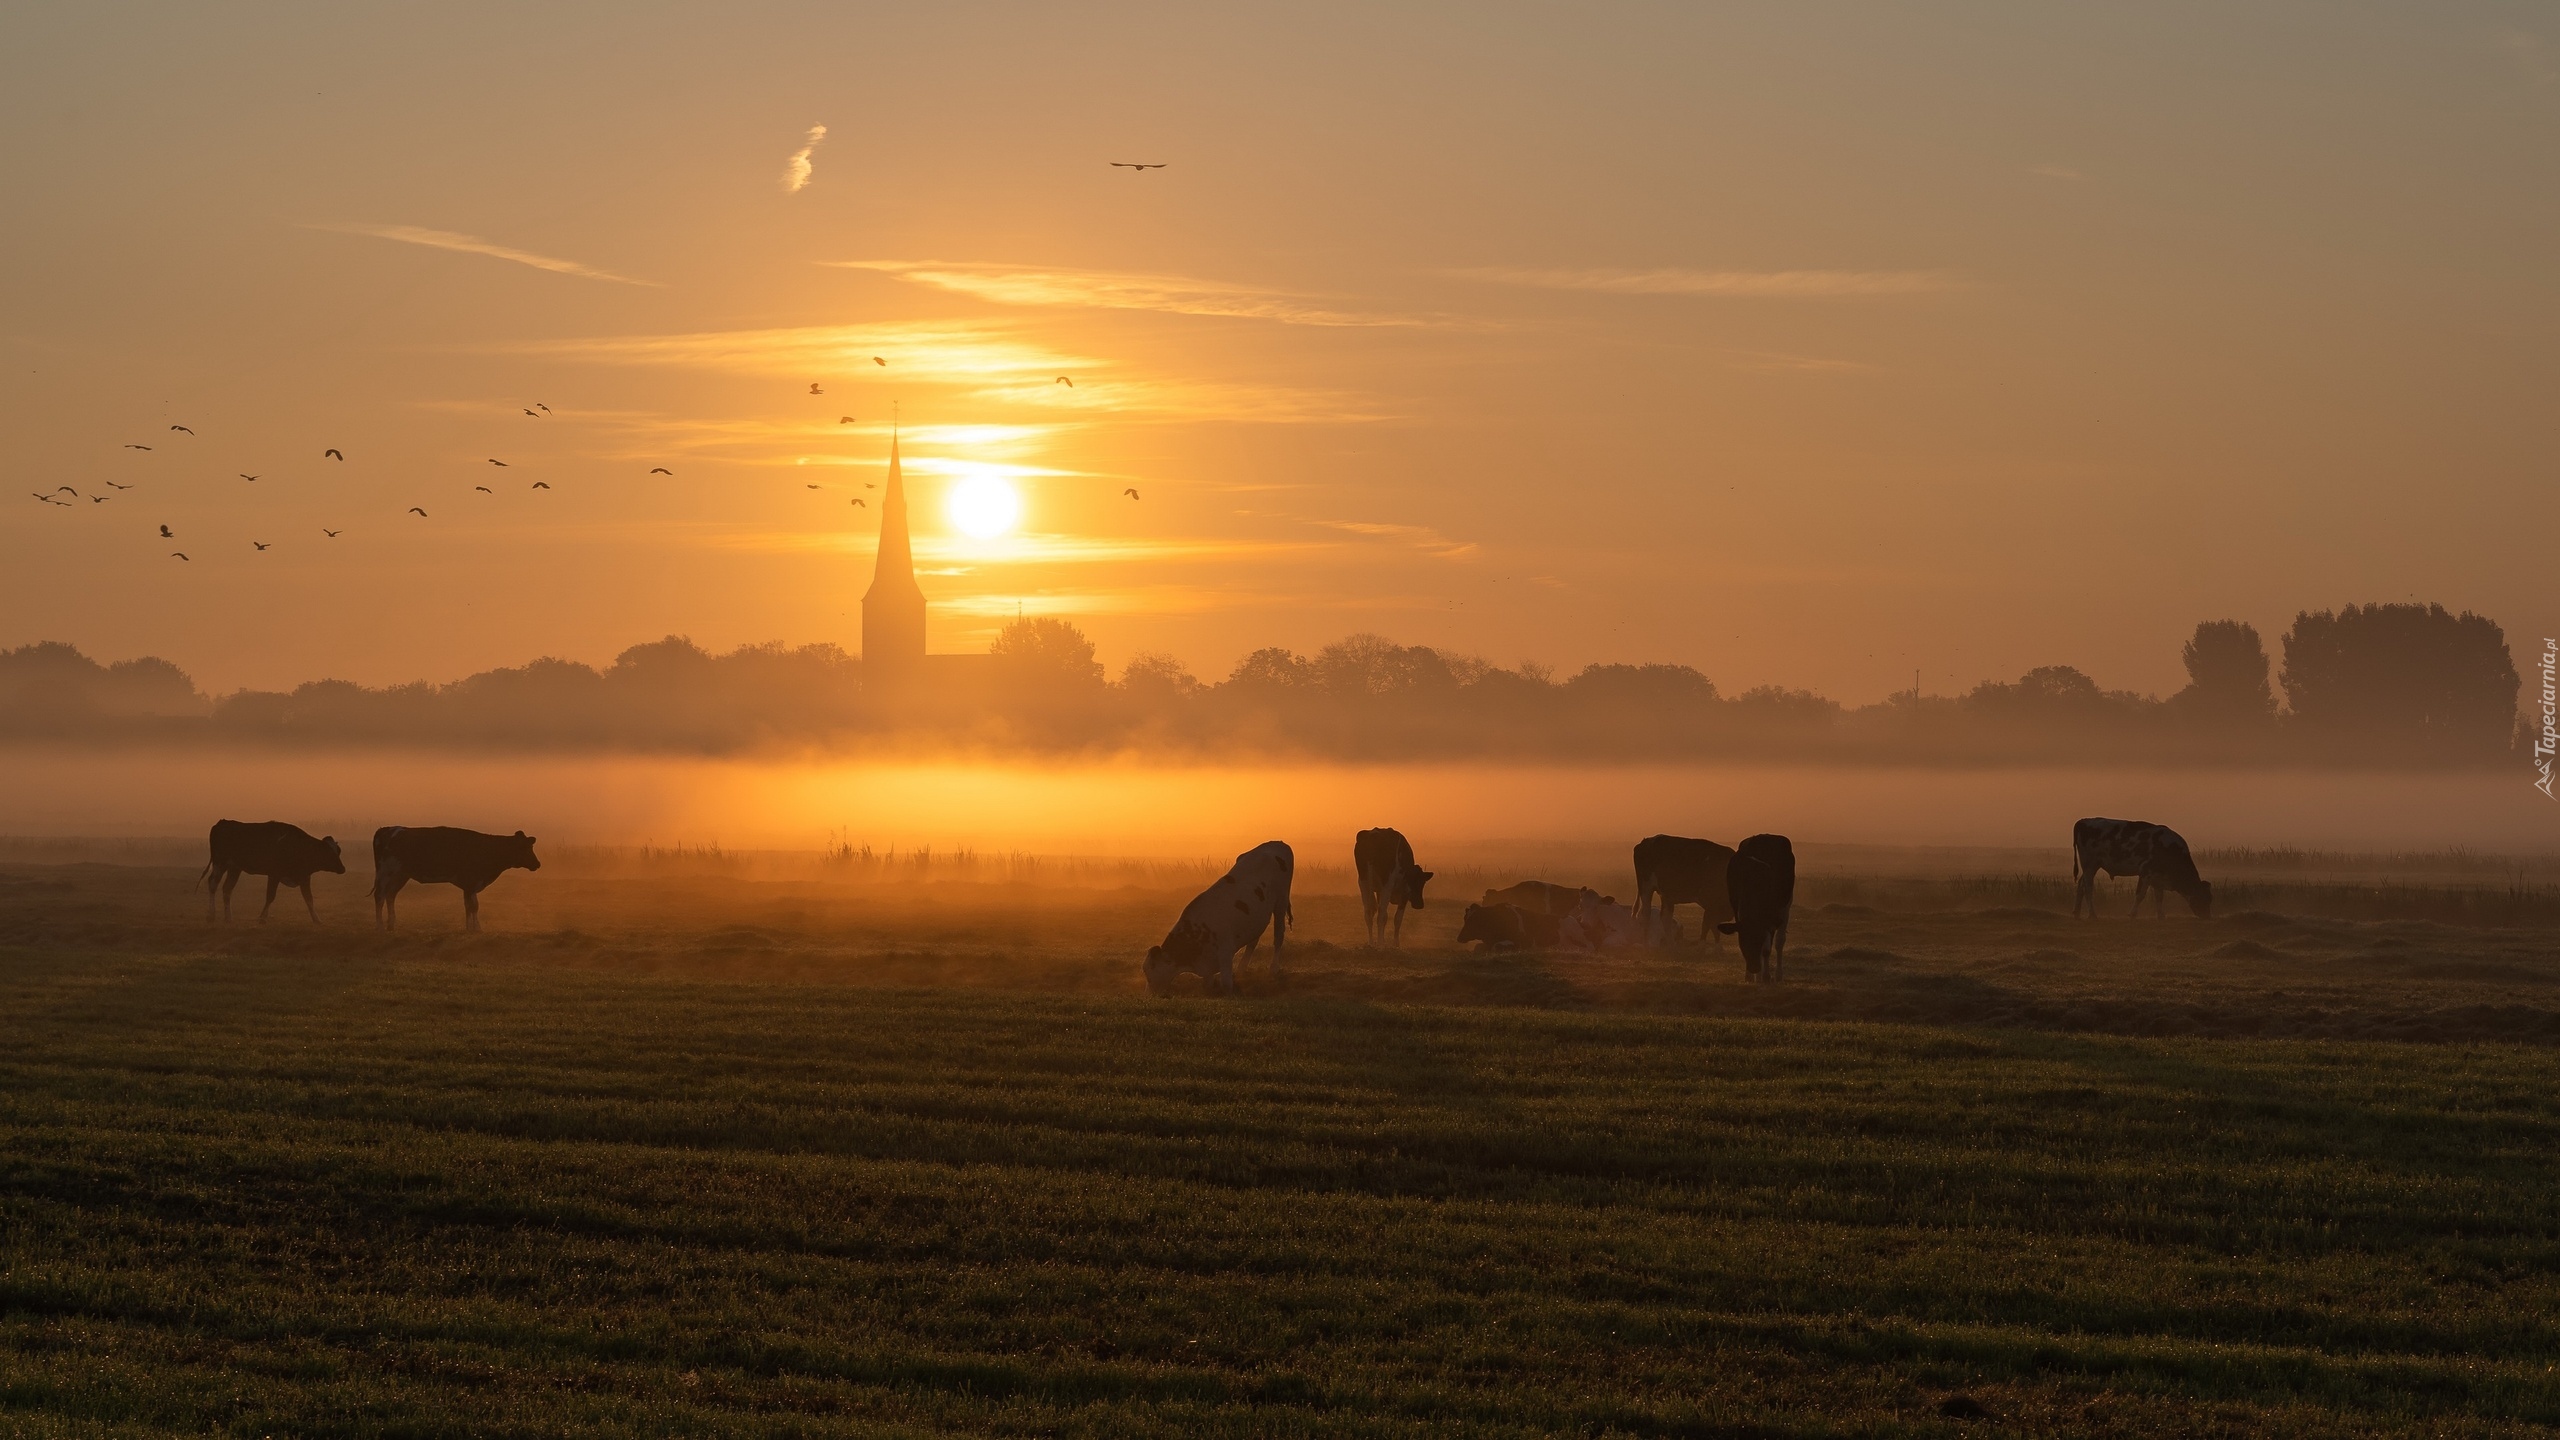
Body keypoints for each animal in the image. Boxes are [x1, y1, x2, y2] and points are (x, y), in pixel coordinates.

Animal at [200, 819, 345, 917]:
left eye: (338, 851)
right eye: (329, 853)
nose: (342, 868)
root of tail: (222, 823)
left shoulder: (304, 876)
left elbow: (309, 898)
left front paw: (317, 920)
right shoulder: (274, 874)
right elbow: (270, 896)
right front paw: (262, 918)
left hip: (234, 868)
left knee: (227, 889)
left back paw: (228, 917)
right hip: (220, 863)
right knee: (212, 884)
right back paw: (211, 915)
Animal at [371, 819, 540, 932]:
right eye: (526, 848)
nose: (537, 864)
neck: (488, 848)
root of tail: (386, 829)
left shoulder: (470, 885)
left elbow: (470, 906)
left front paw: (469, 928)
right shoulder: (471, 882)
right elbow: (473, 906)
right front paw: (476, 929)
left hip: (400, 875)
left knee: (390, 895)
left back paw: (391, 924)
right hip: (386, 872)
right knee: (380, 896)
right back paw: (379, 926)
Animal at [1146, 835, 1290, 994]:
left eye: (1150, 971)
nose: (1151, 993)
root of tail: (1277, 843)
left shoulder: (1225, 952)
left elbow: (1226, 984)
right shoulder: (1207, 963)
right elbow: (1207, 983)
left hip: (1281, 900)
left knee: (1278, 935)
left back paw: (1273, 969)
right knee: (1253, 940)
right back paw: (1242, 969)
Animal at [1720, 825, 1802, 978]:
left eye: (1758, 940)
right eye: (1743, 942)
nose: (1754, 968)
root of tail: (1766, 835)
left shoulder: (1769, 917)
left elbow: (1766, 949)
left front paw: (1764, 976)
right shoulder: (1736, 908)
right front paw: (1750, 976)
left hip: (1785, 905)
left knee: (1779, 941)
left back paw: (1778, 974)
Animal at [2068, 814, 2211, 912]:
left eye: (2210, 898)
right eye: (2203, 897)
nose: (2207, 916)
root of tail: (2084, 820)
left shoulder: (2157, 877)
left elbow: (2159, 897)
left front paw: (2161, 916)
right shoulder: (2145, 872)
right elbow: (2140, 895)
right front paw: (2132, 914)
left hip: (2091, 866)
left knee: (2081, 885)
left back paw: (2077, 912)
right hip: (2089, 864)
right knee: (2088, 888)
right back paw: (2092, 914)